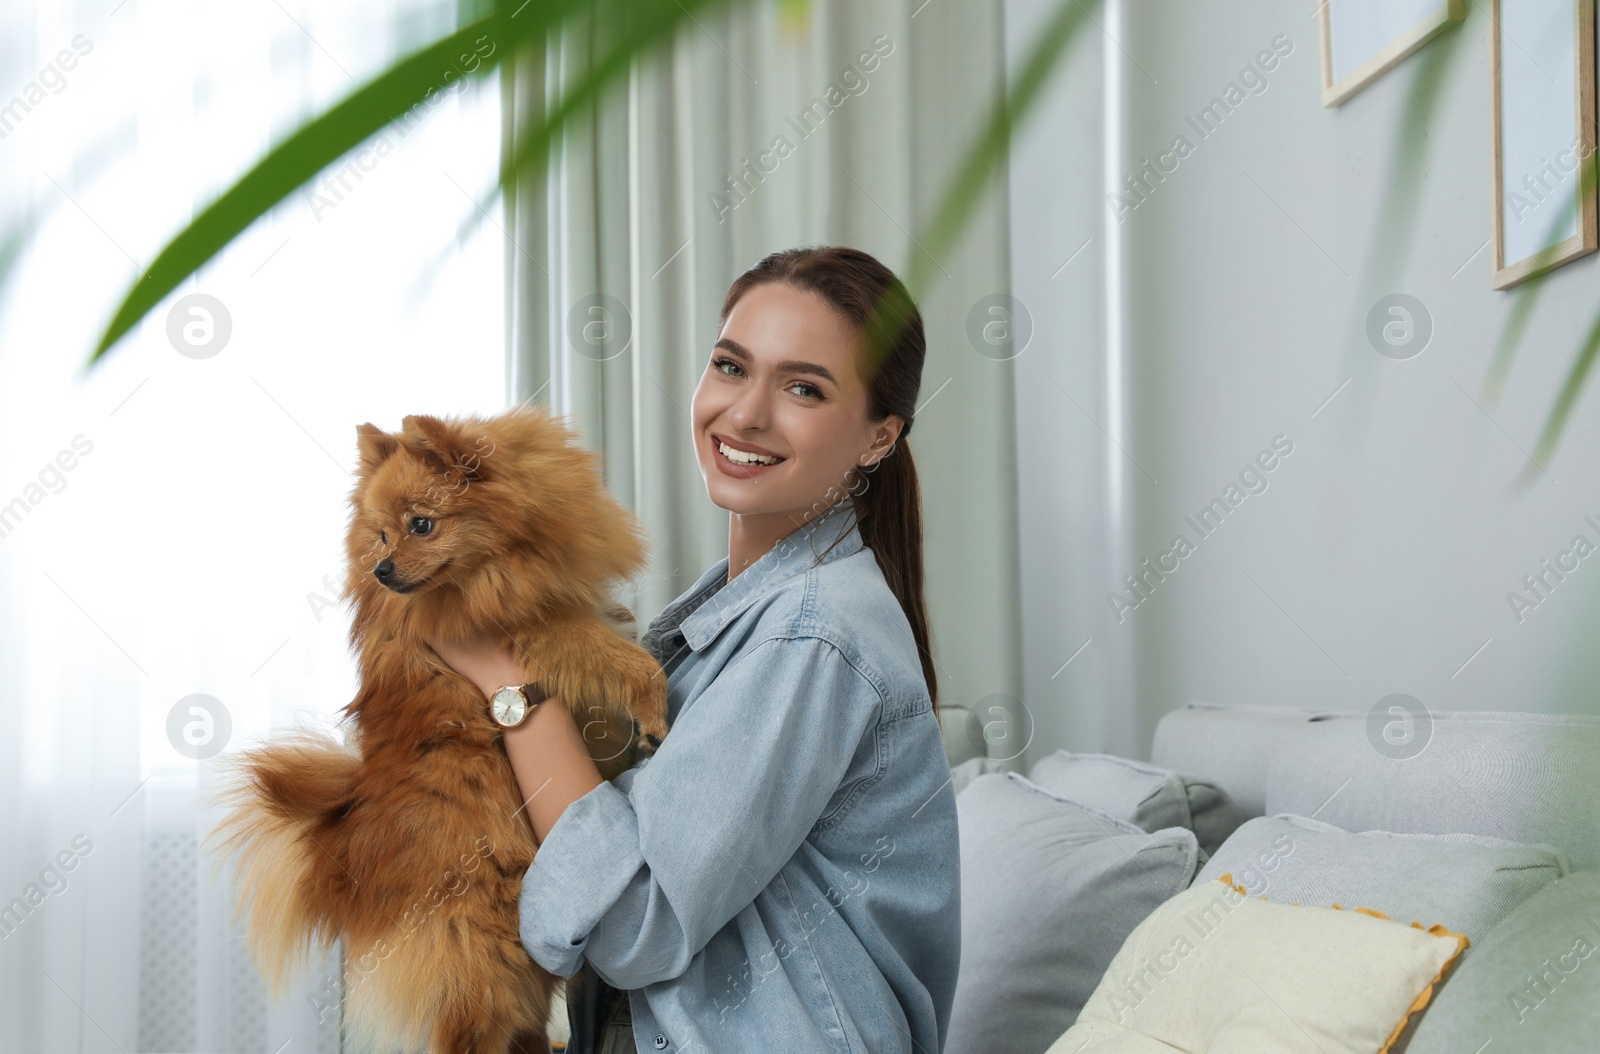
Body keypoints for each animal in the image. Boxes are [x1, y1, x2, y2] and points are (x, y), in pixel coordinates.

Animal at [208, 406, 668, 1054]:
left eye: (419, 526)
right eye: (381, 535)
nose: (381, 568)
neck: (504, 563)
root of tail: (346, 858)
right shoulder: (538, 627)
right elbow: (626, 660)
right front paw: (653, 708)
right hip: (483, 958)